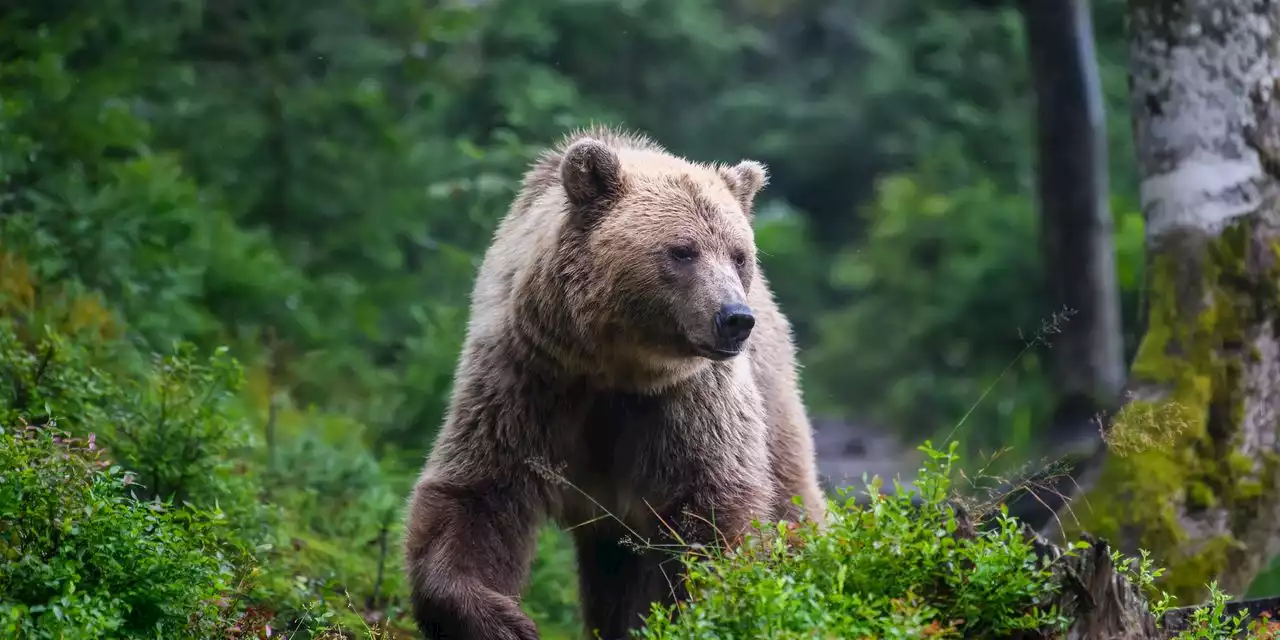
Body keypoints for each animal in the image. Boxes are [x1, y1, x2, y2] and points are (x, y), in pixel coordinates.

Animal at [401, 126, 829, 640]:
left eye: (739, 254)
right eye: (682, 250)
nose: (734, 319)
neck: (615, 366)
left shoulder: (689, 402)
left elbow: (713, 509)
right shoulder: (527, 378)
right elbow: (478, 492)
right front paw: (504, 620)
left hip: (773, 400)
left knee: (790, 498)